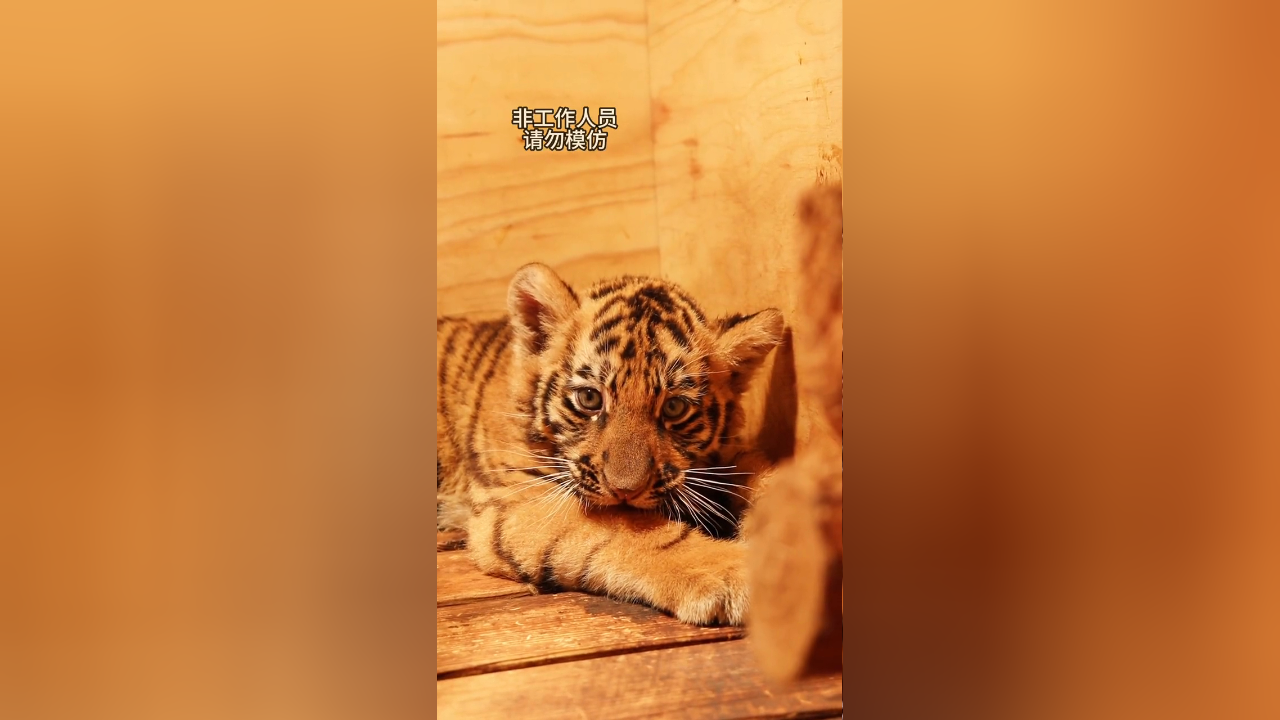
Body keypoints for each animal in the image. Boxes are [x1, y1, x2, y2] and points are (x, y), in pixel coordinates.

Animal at [436, 263, 784, 626]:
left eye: (674, 407)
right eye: (590, 398)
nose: (625, 491)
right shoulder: (519, 498)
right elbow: (632, 529)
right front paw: (738, 571)